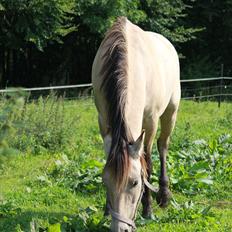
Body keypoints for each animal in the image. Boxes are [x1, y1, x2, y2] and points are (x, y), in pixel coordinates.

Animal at [91, 16, 180, 232]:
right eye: (105, 182)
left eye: (134, 183)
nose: (119, 229)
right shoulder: (103, 121)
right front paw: (106, 211)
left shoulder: (150, 121)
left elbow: (146, 162)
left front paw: (147, 209)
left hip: (171, 112)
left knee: (163, 146)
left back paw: (164, 195)